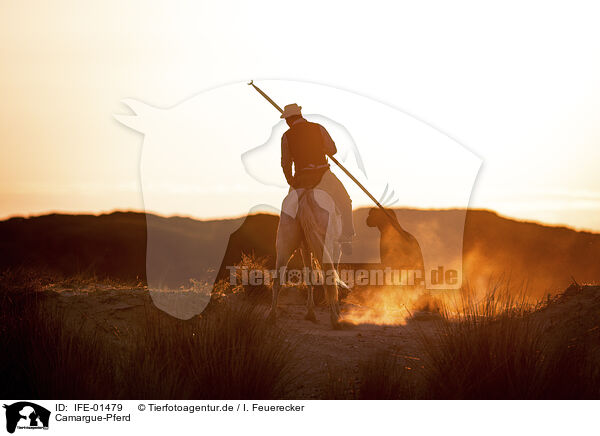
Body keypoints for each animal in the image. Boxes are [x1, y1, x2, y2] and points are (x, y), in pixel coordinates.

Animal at [266, 186, 346, 328]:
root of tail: (306, 196)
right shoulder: (335, 249)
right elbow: (333, 278)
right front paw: (335, 310)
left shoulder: (305, 248)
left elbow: (309, 278)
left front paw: (310, 312)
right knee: (328, 278)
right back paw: (335, 319)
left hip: (284, 245)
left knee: (277, 280)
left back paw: (272, 316)